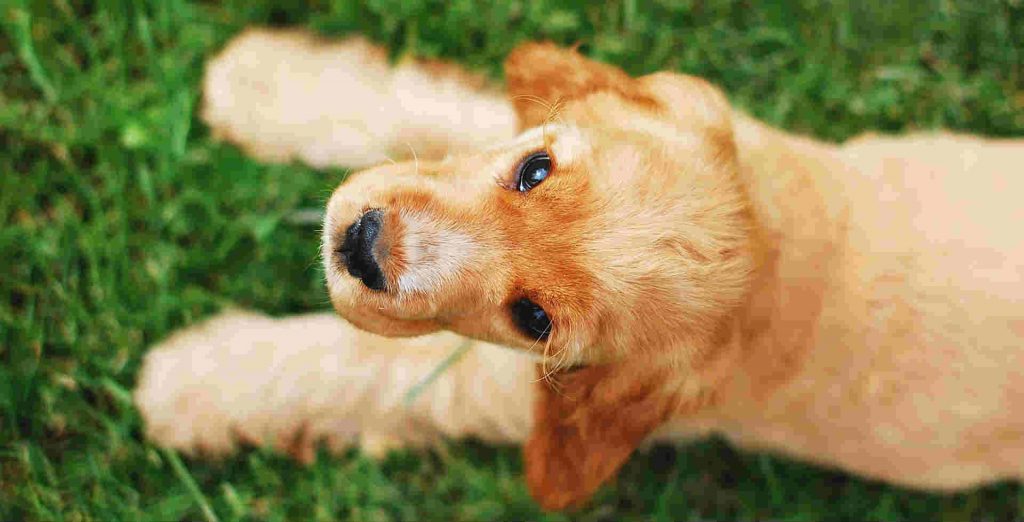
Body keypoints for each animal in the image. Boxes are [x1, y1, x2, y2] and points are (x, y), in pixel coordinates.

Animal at [136, 28, 1024, 509]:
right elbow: (435, 113)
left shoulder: (514, 385)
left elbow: (371, 367)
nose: (359, 244)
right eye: (534, 171)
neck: (778, 257)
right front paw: (260, 81)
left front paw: (190, 384)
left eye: (534, 319)